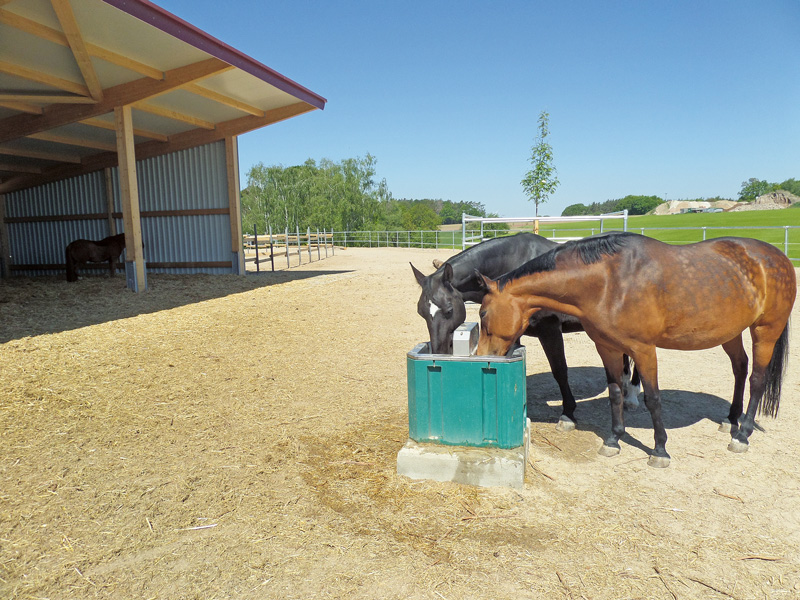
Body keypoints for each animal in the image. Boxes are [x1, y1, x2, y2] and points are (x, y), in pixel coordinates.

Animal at [412, 232, 636, 428]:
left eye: (449, 309)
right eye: (421, 312)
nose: (439, 351)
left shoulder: (549, 330)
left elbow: (560, 371)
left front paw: (568, 414)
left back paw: (632, 396)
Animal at [476, 232, 792, 466]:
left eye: (482, 314)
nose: (481, 357)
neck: (609, 282)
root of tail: (777, 257)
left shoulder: (644, 350)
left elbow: (653, 398)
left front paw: (660, 450)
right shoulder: (607, 347)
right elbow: (615, 392)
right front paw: (614, 440)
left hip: (766, 330)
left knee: (757, 379)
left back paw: (743, 435)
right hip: (731, 332)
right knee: (740, 368)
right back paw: (730, 420)